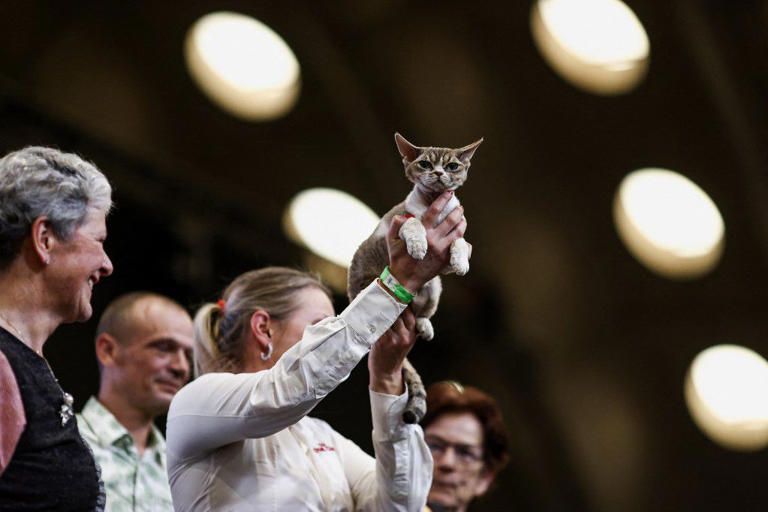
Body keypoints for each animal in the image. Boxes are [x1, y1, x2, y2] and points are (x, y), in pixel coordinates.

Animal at [346, 133, 480, 424]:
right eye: (425, 164)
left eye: (452, 166)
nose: (439, 173)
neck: (432, 204)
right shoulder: (397, 221)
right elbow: (414, 223)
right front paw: (419, 245)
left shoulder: (446, 257)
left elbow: (460, 243)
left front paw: (461, 260)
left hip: (434, 287)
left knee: (422, 312)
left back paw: (423, 324)